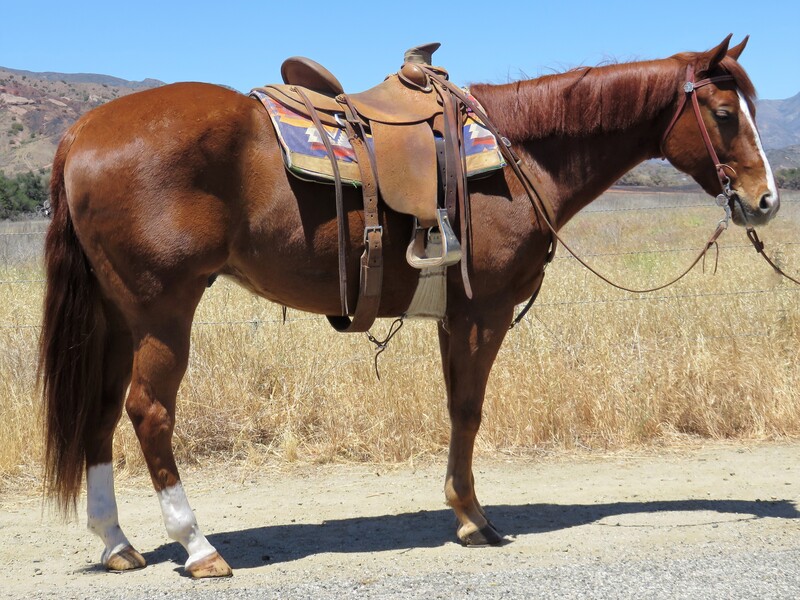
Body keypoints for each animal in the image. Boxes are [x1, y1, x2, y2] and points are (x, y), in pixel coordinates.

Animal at [39, 36, 780, 576]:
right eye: (723, 114)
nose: (766, 199)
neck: (518, 154)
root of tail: (82, 132)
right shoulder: (482, 313)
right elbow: (469, 410)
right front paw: (473, 518)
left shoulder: (456, 316)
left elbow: (457, 408)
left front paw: (463, 510)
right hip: (163, 311)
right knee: (148, 412)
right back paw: (197, 547)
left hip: (115, 316)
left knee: (100, 412)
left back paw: (117, 543)